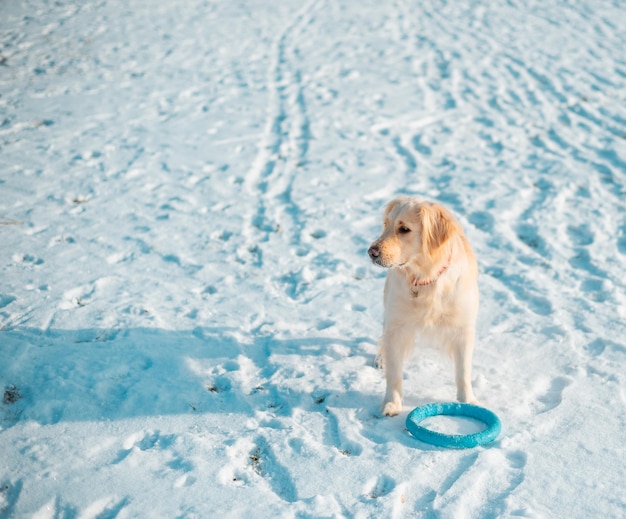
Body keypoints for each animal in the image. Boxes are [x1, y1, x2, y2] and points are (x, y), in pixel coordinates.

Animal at [366, 197, 478, 416]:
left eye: (404, 229)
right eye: (386, 224)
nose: (371, 252)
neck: (426, 279)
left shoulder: (463, 328)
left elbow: (463, 370)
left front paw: (468, 401)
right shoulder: (397, 326)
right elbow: (394, 372)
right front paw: (392, 403)